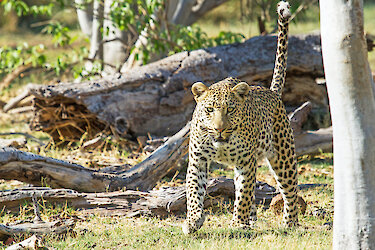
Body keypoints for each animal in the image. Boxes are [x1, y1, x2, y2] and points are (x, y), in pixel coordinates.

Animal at [183, 0, 300, 234]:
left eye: (230, 110)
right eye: (209, 110)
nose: (219, 129)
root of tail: (272, 92)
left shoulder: (246, 161)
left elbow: (245, 193)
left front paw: (237, 223)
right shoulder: (198, 160)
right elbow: (193, 191)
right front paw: (193, 219)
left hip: (283, 156)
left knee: (290, 191)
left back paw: (289, 223)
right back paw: (251, 222)